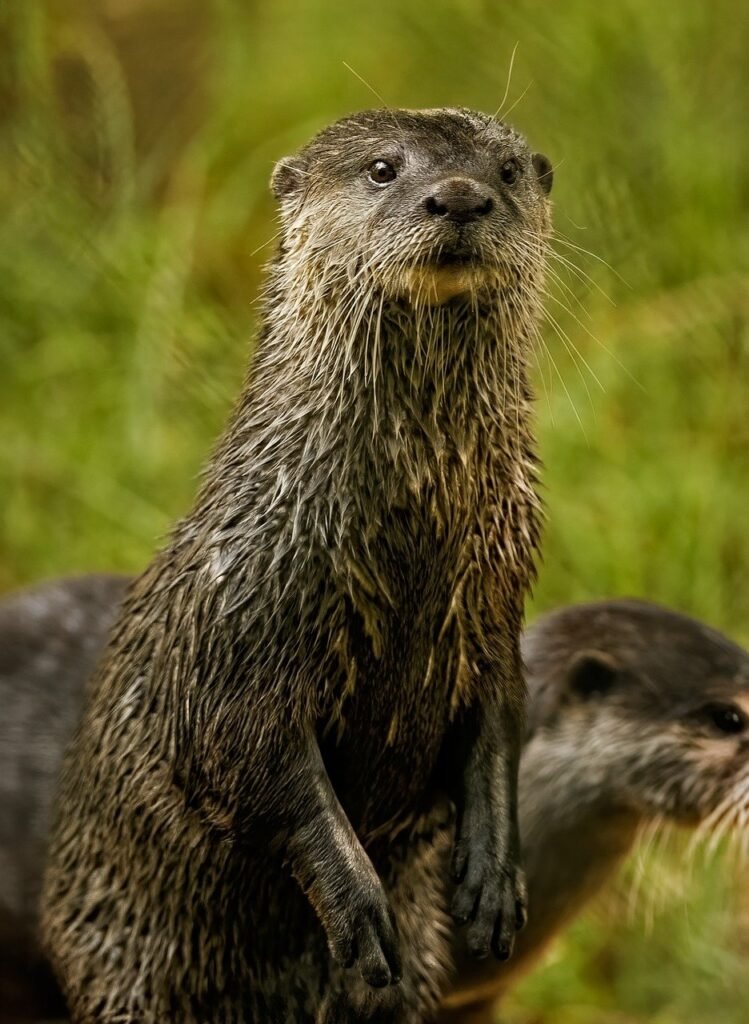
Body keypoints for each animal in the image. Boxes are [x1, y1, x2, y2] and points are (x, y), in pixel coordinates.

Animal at [39, 105, 557, 1024]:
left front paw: (495, 881)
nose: (459, 195)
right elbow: (251, 761)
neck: (412, 543)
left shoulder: (492, 616)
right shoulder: (239, 629)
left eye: (504, 170)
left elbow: (500, 722)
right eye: (383, 168)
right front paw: (355, 904)